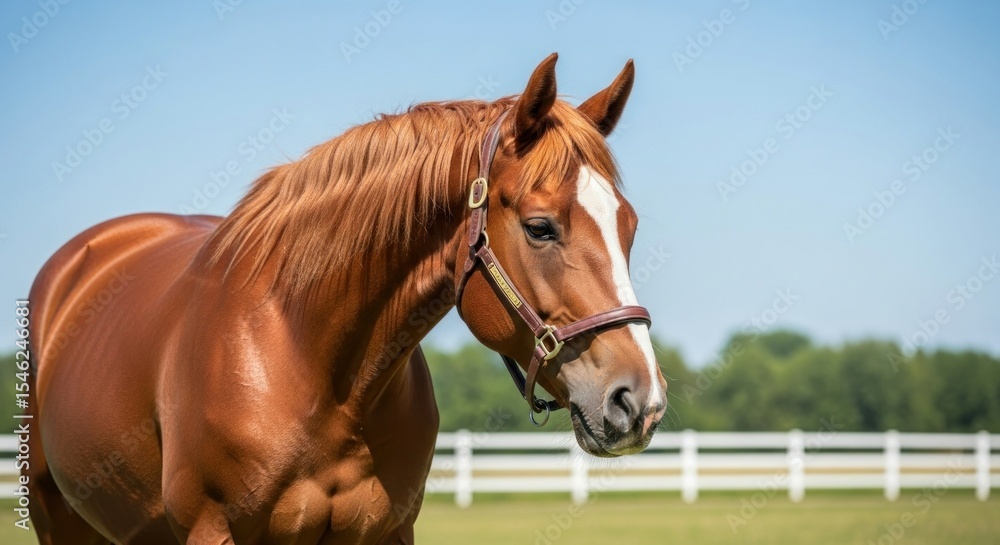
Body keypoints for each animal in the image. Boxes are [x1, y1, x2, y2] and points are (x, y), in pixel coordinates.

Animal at [25, 53, 668, 544]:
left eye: (630, 226)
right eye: (539, 228)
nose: (640, 402)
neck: (310, 363)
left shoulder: (387, 531)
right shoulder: (210, 530)